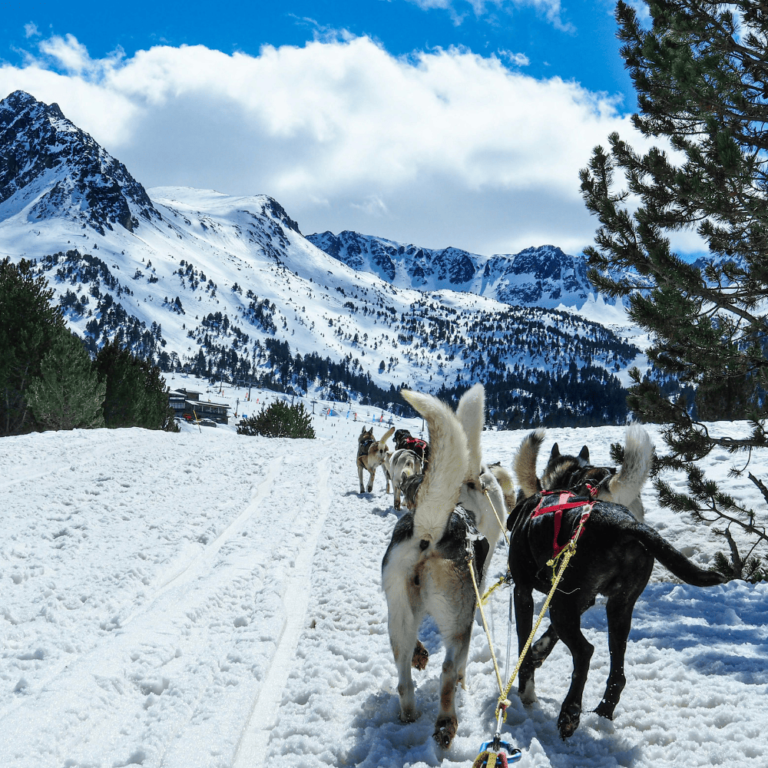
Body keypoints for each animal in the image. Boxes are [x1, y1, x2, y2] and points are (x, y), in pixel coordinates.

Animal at [380, 384, 508, 752]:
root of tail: (429, 532)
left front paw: (421, 654)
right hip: (457, 623)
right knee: (449, 671)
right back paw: (446, 723)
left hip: (398, 615)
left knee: (404, 678)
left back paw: (410, 711)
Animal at [504, 488, 728, 740]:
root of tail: (624, 524)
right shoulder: (584, 601)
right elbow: (546, 639)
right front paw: (538, 651)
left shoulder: (524, 593)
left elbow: (523, 644)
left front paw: (526, 691)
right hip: (617, 608)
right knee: (618, 675)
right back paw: (602, 713)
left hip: (561, 604)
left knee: (584, 651)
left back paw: (570, 713)